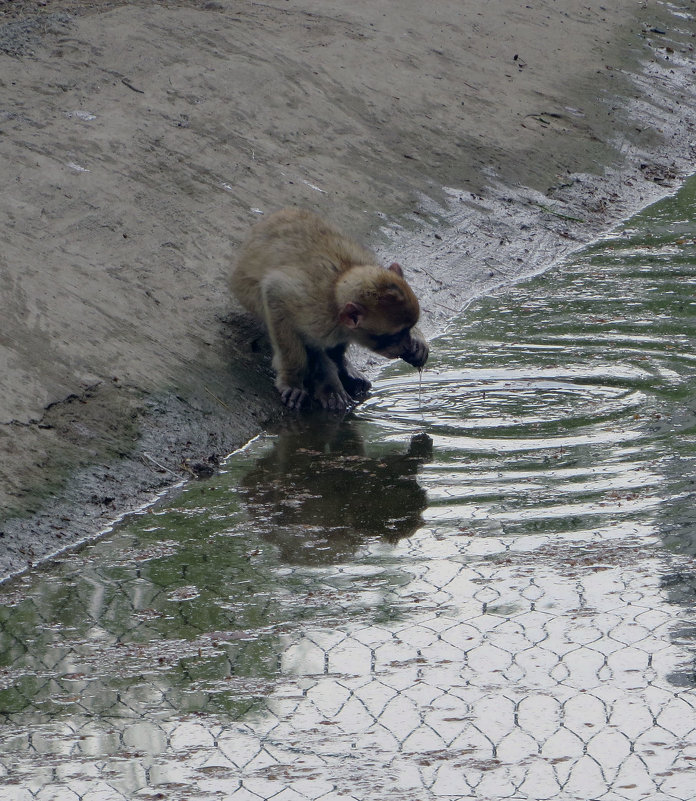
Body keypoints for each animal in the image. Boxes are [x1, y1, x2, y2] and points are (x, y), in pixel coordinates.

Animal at [232, 208, 430, 406]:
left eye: (407, 329)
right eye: (395, 336)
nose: (406, 345)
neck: (336, 290)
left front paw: (417, 342)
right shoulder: (312, 309)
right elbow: (274, 292)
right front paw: (293, 378)